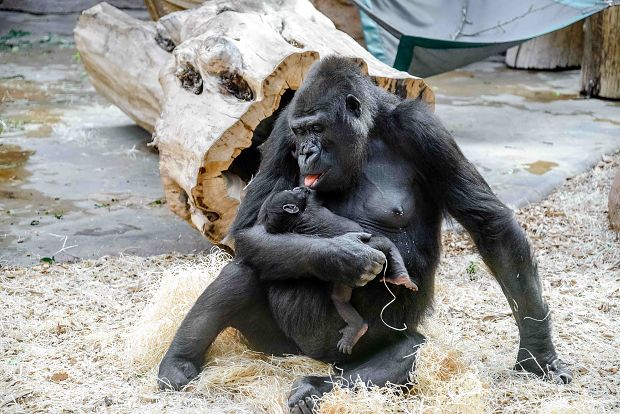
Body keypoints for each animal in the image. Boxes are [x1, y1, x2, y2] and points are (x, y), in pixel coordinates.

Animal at [260, 187, 418, 352]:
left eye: (288, 190)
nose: (297, 188)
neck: (295, 219)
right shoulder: (312, 208)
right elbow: (316, 198)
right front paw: (309, 191)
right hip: (368, 253)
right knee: (341, 298)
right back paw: (358, 326)